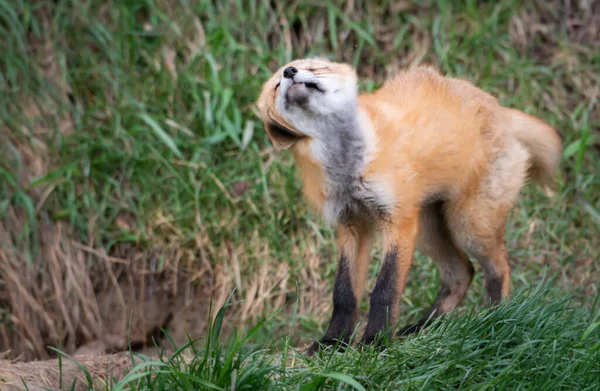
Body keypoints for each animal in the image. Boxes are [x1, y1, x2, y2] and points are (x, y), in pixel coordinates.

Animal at [256, 57, 564, 356]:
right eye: (276, 86)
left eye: (315, 67)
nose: (289, 71)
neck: (347, 165)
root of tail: (497, 107)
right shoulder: (351, 225)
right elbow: (343, 294)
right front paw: (333, 343)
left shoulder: (398, 220)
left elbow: (385, 290)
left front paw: (375, 342)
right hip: (429, 232)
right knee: (463, 272)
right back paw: (426, 327)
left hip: (468, 226)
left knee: (499, 268)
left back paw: (494, 320)